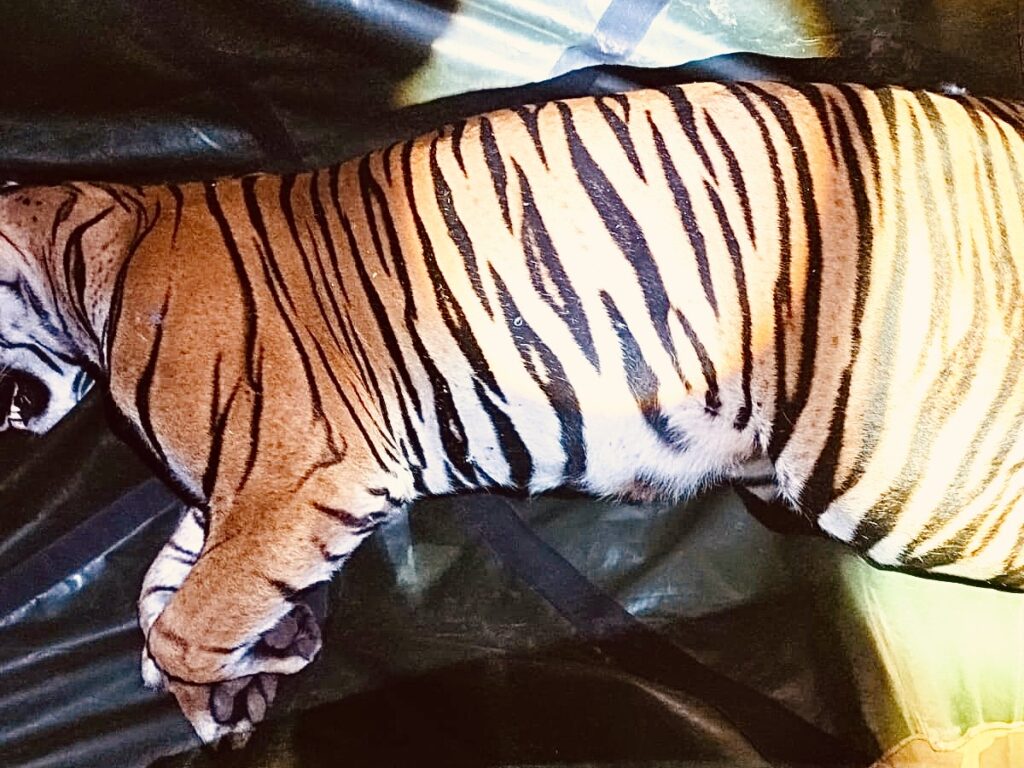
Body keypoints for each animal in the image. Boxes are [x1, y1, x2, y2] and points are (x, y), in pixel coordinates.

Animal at [3, 80, 1024, 744]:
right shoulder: (249, 490)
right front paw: (254, 669)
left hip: (898, 470)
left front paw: (240, 675)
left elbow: (184, 619)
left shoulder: (299, 474)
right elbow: (159, 589)